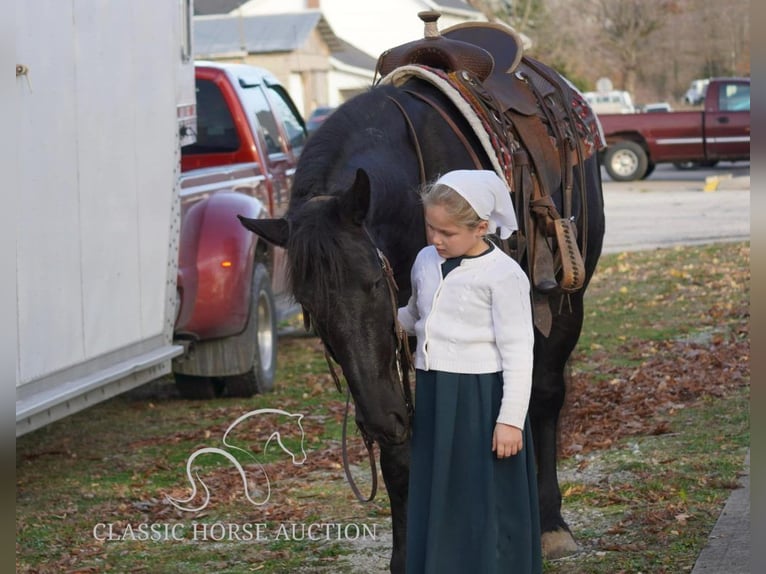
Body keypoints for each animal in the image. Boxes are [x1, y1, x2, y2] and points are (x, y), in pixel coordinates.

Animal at [240, 67, 608, 572]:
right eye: (310, 308)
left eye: (374, 283)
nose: (378, 421)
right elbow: (400, 455)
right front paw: (406, 554)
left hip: (565, 298)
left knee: (545, 393)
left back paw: (551, 525)